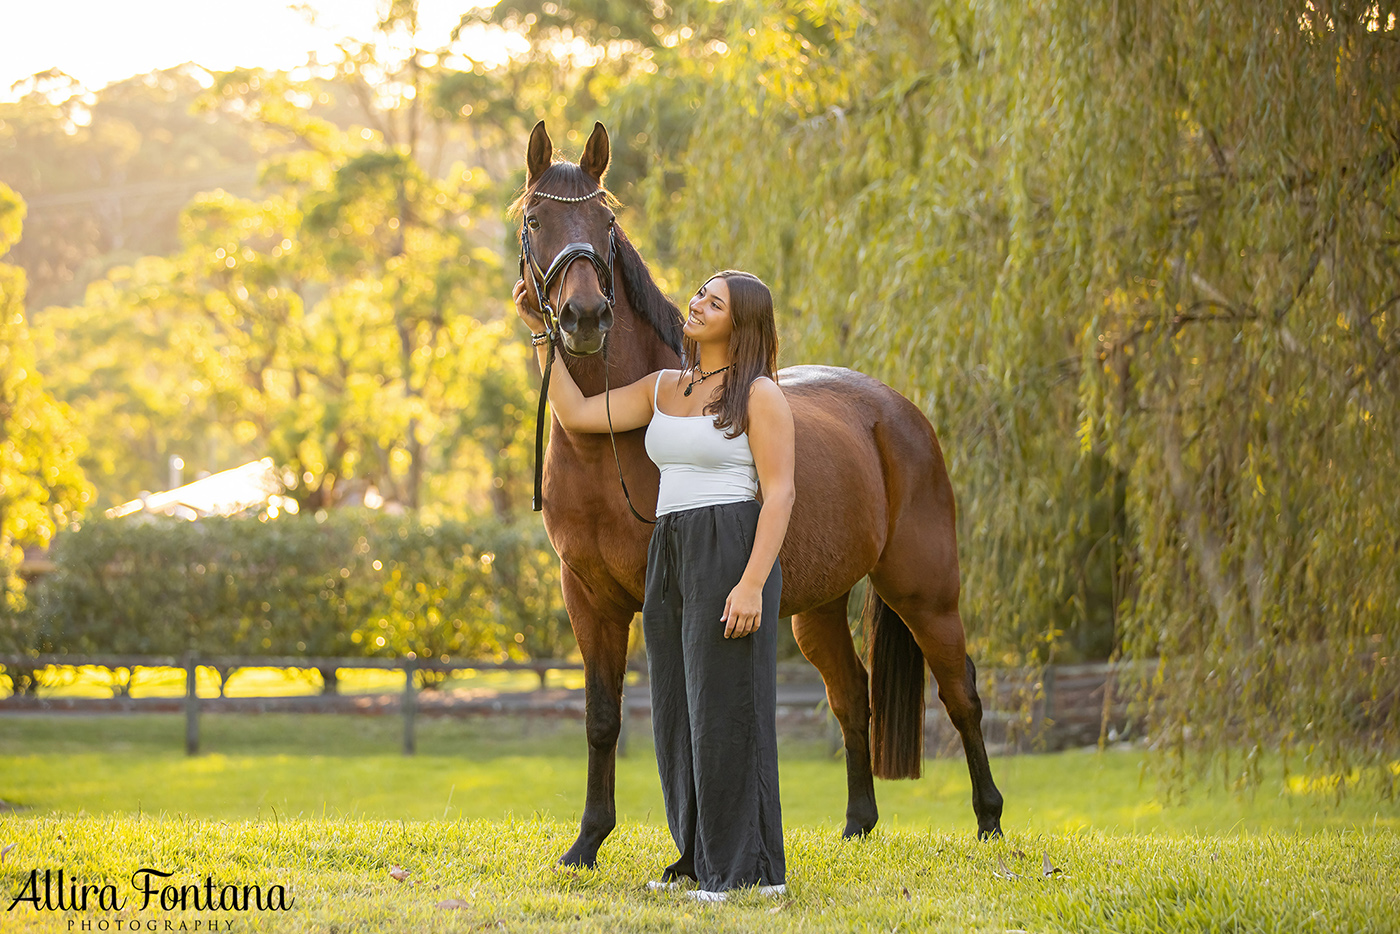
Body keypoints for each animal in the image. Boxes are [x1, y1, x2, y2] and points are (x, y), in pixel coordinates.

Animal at [520, 119, 1002, 868]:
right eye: (535, 219)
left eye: (606, 223)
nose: (585, 316)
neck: (608, 446)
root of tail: (899, 412)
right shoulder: (588, 597)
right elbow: (602, 719)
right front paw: (587, 843)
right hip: (820, 607)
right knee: (851, 695)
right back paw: (858, 824)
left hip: (925, 590)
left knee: (961, 693)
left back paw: (989, 823)